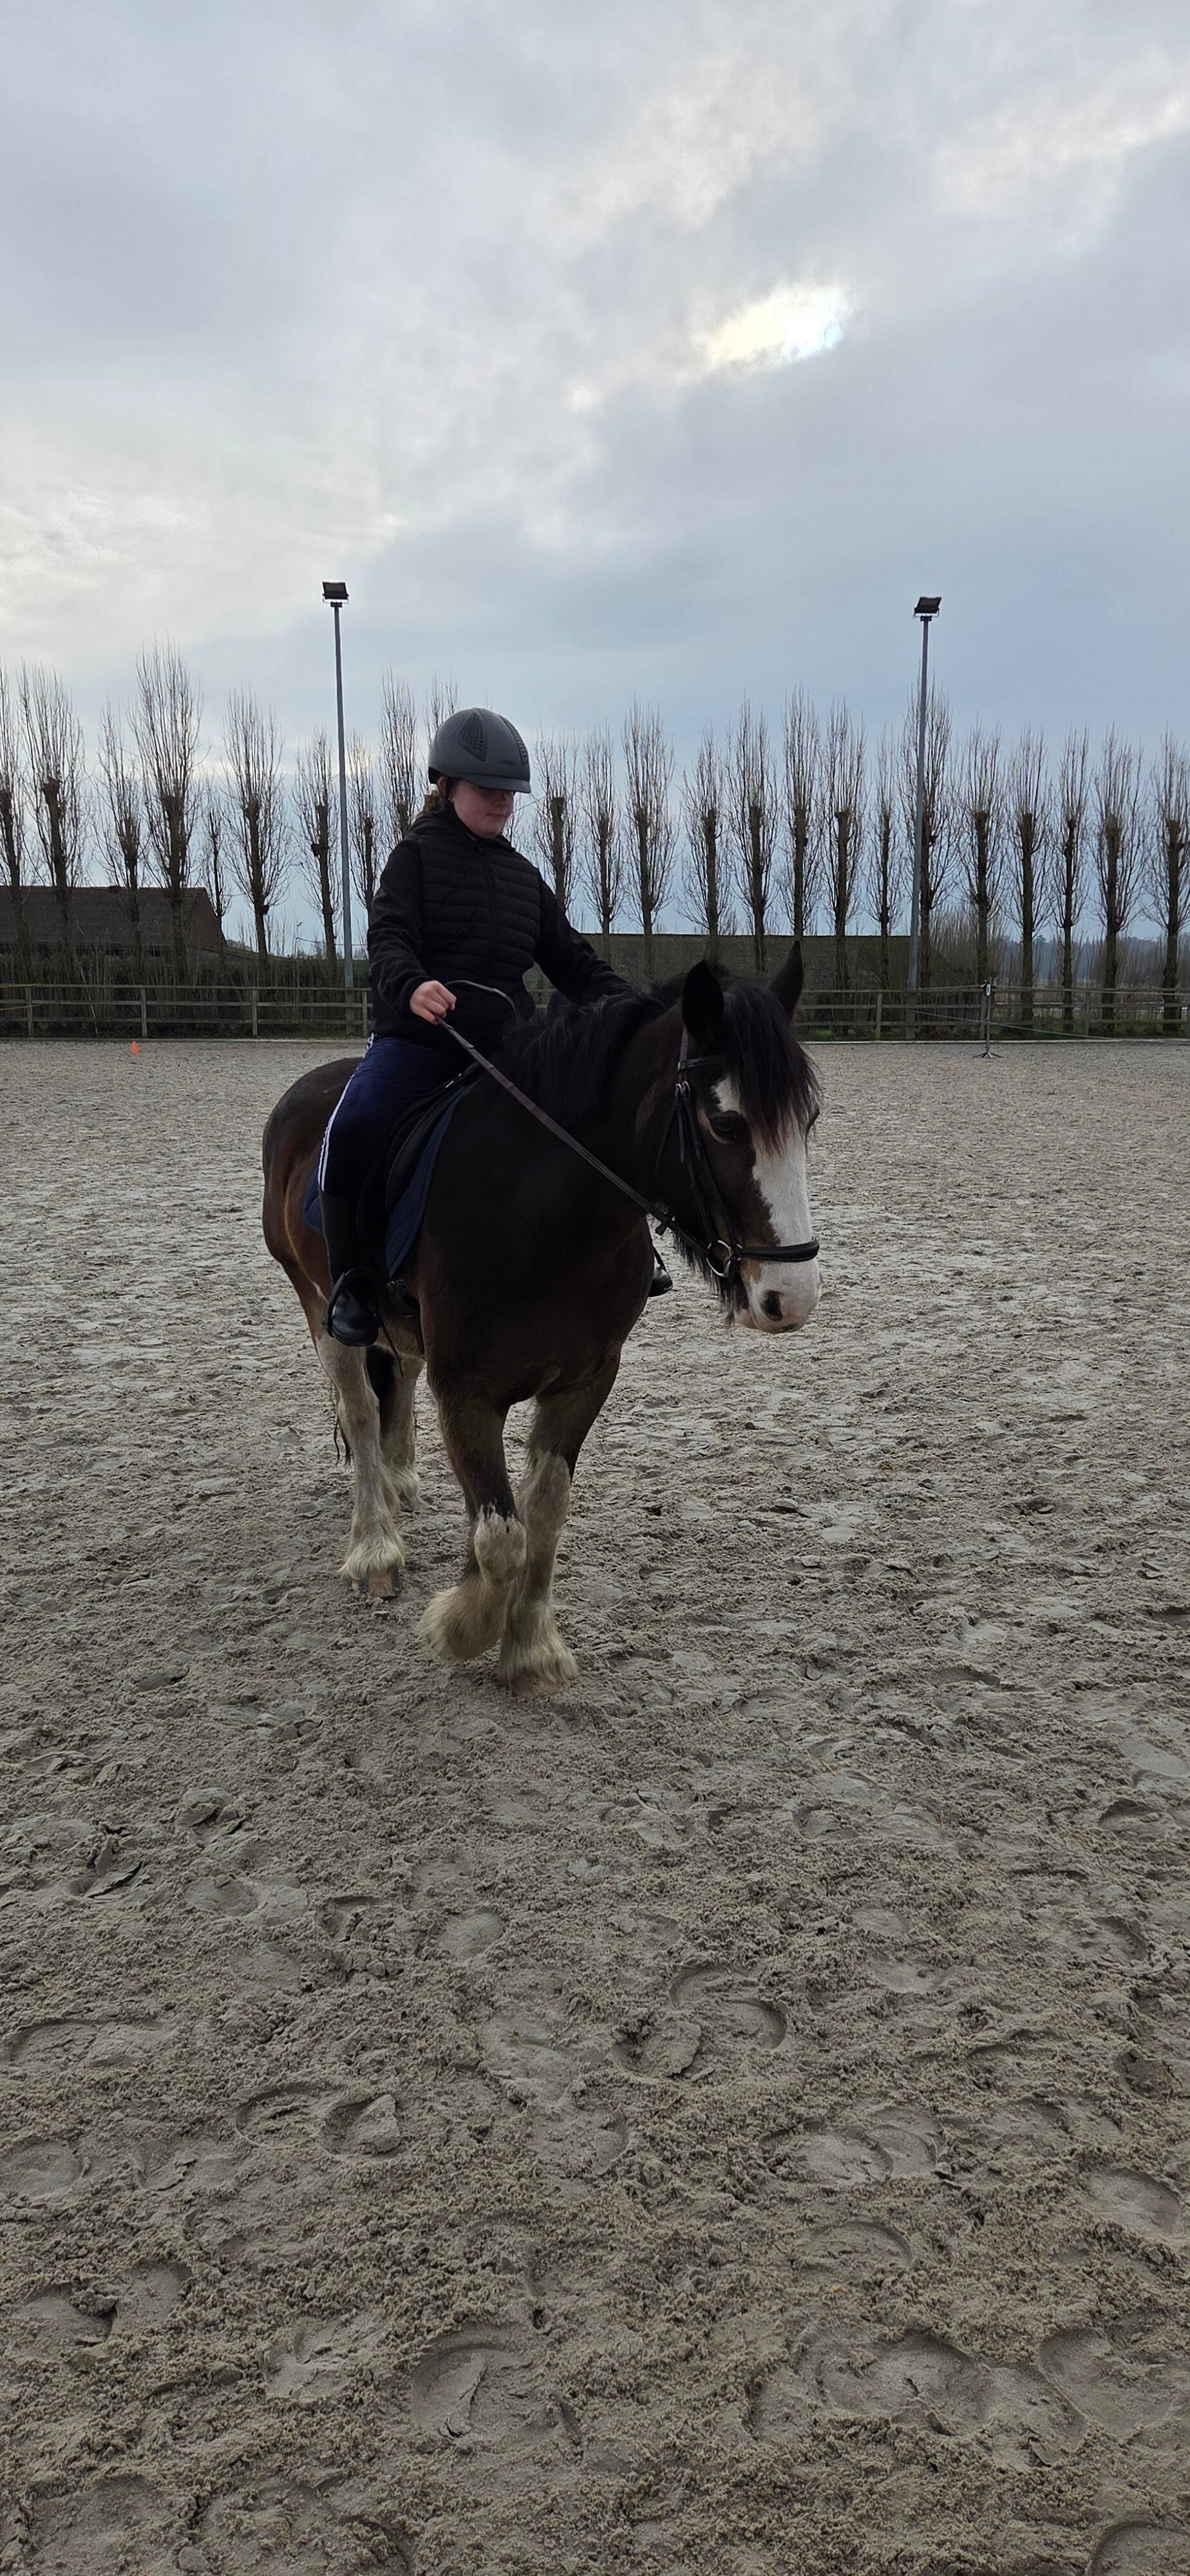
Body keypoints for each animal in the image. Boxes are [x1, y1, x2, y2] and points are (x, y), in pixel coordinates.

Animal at [261, 951, 820, 1694]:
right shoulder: (466, 1391)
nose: (793, 1294)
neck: (545, 1214)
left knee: (397, 1375)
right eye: (726, 1125)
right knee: (357, 1409)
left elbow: (545, 1512)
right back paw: (375, 1546)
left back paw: (401, 1480)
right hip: (318, 1302)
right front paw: (465, 1624)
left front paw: (530, 1647)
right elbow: (501, 1536)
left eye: (807, 1120)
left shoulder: (585, 1381)